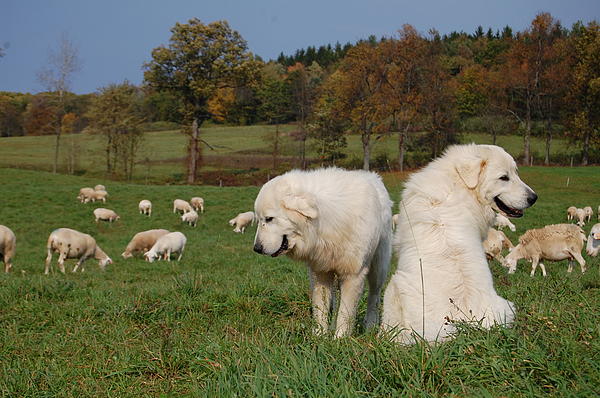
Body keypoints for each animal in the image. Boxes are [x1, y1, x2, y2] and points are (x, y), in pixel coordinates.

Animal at [253, 166, 394, 338]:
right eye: (259, 219)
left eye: (269, 219)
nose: (256, 248)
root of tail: (375, 178)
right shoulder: (320, 272)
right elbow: (321, 307)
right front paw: (319, 336)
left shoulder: (353, 275)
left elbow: (345, 313)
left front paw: (340, 338)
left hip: (378, 267)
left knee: (374, 296)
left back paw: (370, 326)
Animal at [382, 145, 536, 344]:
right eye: (504, 177)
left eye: (514, 173)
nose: (534, 197)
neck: (459, 184)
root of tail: (465, 322)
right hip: (504, 306)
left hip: (393, 287)